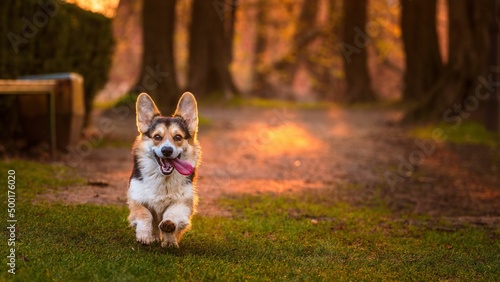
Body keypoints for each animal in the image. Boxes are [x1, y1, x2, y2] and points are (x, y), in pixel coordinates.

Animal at [127, 92, 201, 247]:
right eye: (157, 137)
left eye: (178, 137)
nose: (167, 150)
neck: (163, 178)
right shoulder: (136, 198)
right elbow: (145, 214)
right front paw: (144, 235)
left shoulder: (184, 202)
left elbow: (172, 215)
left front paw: (168, 229)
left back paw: (170, 242)